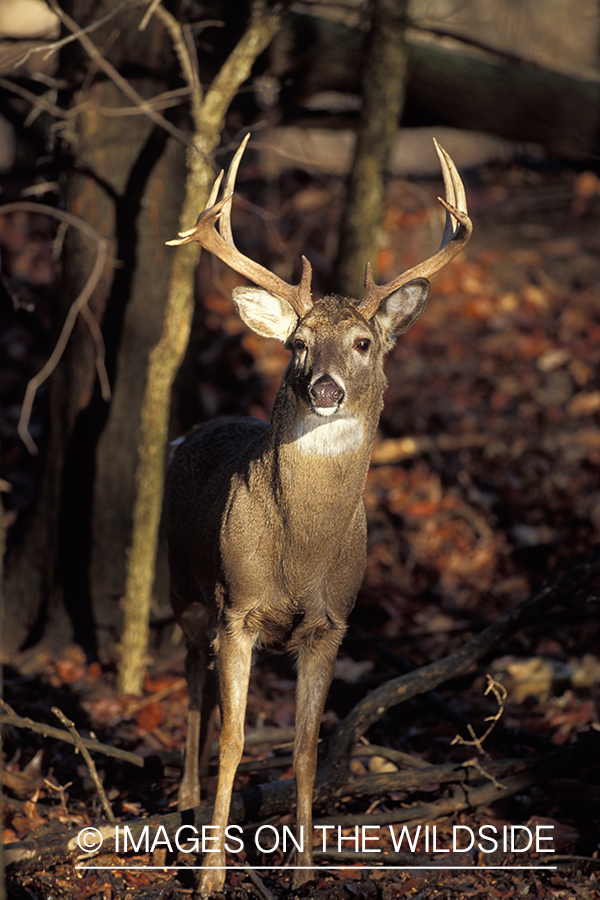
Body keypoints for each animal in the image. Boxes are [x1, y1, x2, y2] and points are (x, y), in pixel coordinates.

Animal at [166, 134, 472, 892]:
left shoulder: (332, 624)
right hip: (184, 587)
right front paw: (212, 876)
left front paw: (302, 869)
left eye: (363, 343)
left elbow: (305, 745)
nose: (326, 388)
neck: (299, 555)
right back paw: (185, 807)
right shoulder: (239, 608)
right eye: (297, 344)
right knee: (192, 683)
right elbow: (236, 739)